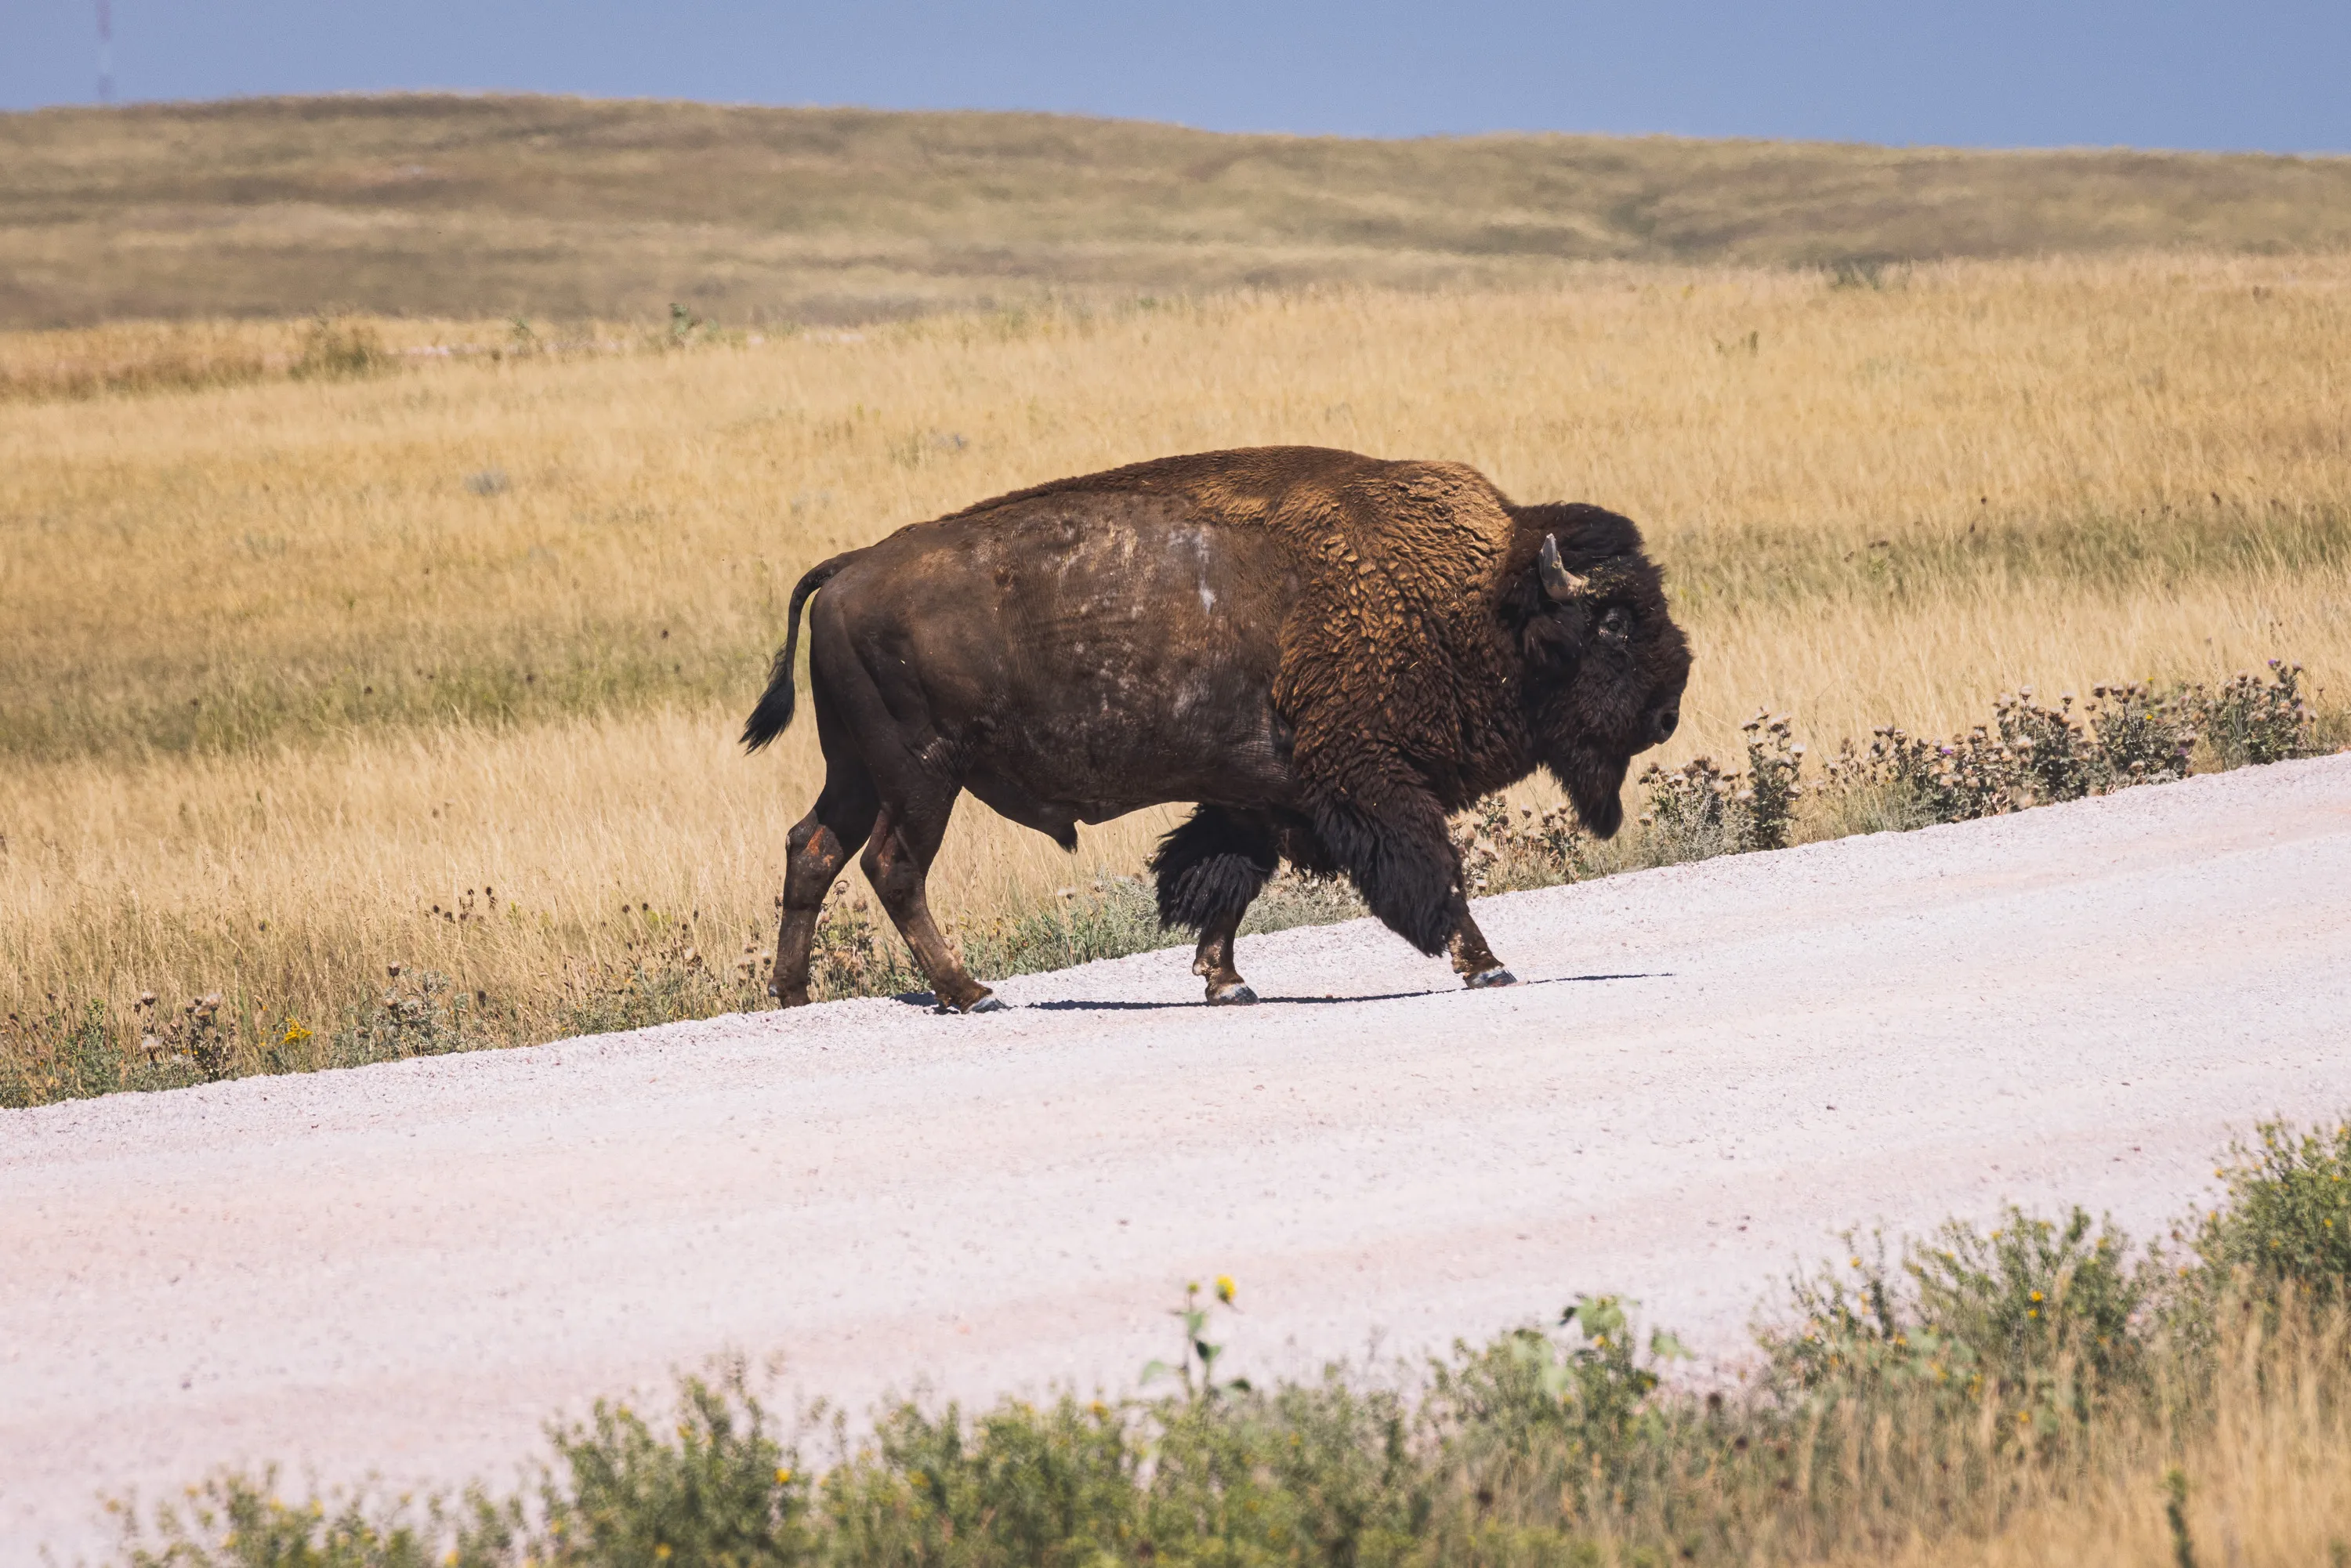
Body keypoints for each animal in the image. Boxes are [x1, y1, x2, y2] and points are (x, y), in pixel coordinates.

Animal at [743, 445, 1690, 1012]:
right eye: (1611, 622)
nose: (1668, 709)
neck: (1474, 598)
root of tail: (849, 569)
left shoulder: (1255, 795)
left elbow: (1222, 882)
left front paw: (1226, 982)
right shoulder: (1368, 781)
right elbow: (1435, 873)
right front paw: (1488, 964)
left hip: (857, 770)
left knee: (812, 848)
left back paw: (795, 996)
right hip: (922, 773)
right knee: (892, 867)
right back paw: (970, 991)